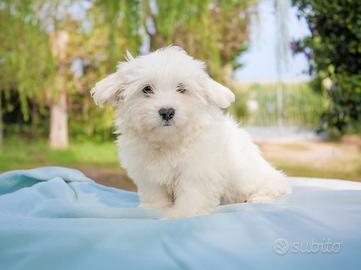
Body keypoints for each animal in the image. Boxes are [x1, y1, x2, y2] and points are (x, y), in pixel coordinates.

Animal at [91, 46, 292, 219]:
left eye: (182, 89)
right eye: (146, 89)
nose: (166, 111)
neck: (168, 142)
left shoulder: (198, 170)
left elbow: (193, 194)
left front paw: (182, 214)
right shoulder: (147, 174)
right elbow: (154, 193)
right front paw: (153, 207)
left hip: (252, 177)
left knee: (274, 187)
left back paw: (257, 198)